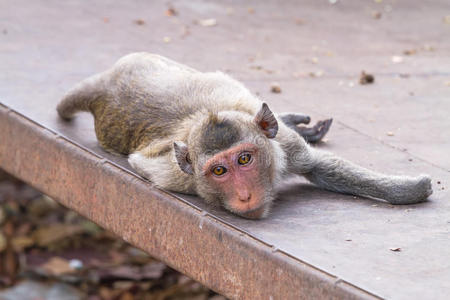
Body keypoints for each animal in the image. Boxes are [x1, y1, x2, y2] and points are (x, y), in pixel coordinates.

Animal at [56, 52, 432, 219]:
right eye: (219, 170)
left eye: (245, 159)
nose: (244, 195)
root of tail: (107, 82)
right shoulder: (174, 175)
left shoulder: (285, 147)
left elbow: (318, 167)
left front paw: (406, 190)